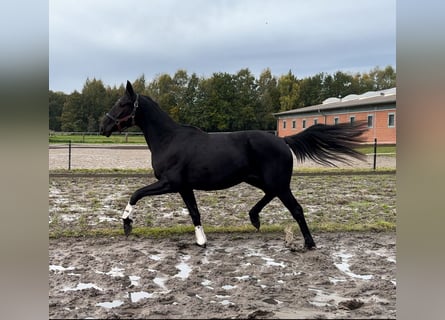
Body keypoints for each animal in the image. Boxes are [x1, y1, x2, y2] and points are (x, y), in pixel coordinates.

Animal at [100, 80, 364, 250]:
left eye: (123, 103)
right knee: (270, 196)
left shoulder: (169, 183)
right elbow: (194, 212)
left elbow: (136, 194)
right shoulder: (184, 187)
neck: (169, 139)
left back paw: (309, 243)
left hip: (278, 183)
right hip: (259, 180)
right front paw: (201, 241)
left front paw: (126, 224)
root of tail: (281, 140)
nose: (103, 126)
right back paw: (254, 218)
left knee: (296, 209)